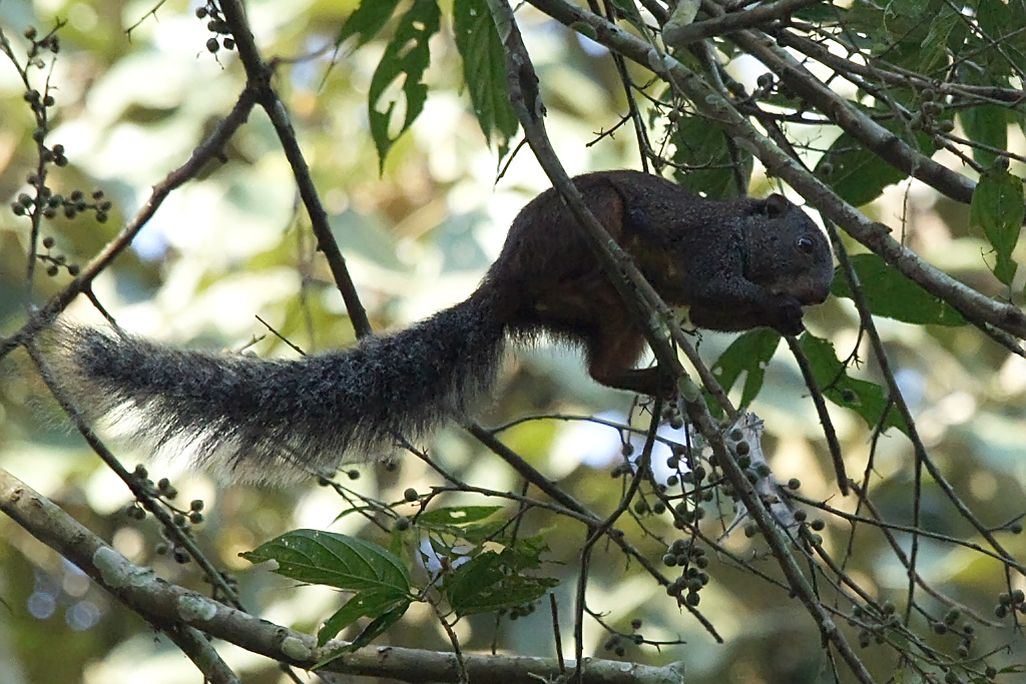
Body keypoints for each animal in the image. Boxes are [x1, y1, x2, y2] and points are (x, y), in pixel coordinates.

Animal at [50, 170, 833, 484]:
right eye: (804, 245)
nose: (826, 291)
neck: (741, 231)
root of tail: (505, 282)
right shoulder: (707, 251)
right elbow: (710, 299)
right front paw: (782, 312)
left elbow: (710, 313)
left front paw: (788, 320)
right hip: (577, 224)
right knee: (602, 243)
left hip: (607, 318)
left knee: (603, 367)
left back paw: (660, 376)